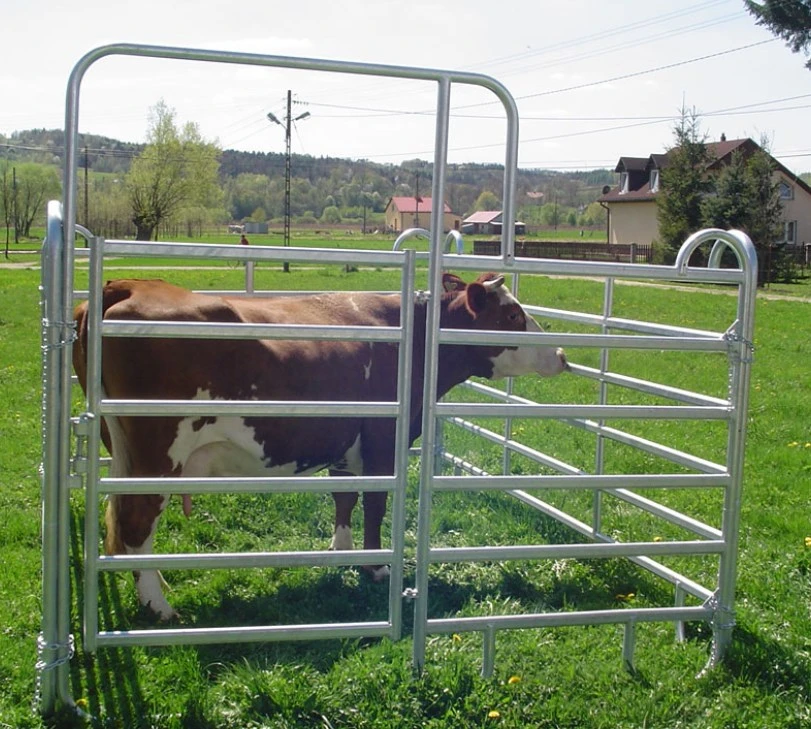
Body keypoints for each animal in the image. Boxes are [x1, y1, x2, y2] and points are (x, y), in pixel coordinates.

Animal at [73, 272, 568, 620]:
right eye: (512, 316)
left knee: (123, 521)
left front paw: (342, 552)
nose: (562, 354)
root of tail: (129, 284)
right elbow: (375, 503)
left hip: (125, 449)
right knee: (137, 519)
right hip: (159, 450)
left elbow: (344, 497)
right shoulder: (383, 441)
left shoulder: (346, 441)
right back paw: (159, 606)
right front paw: (376, 566)